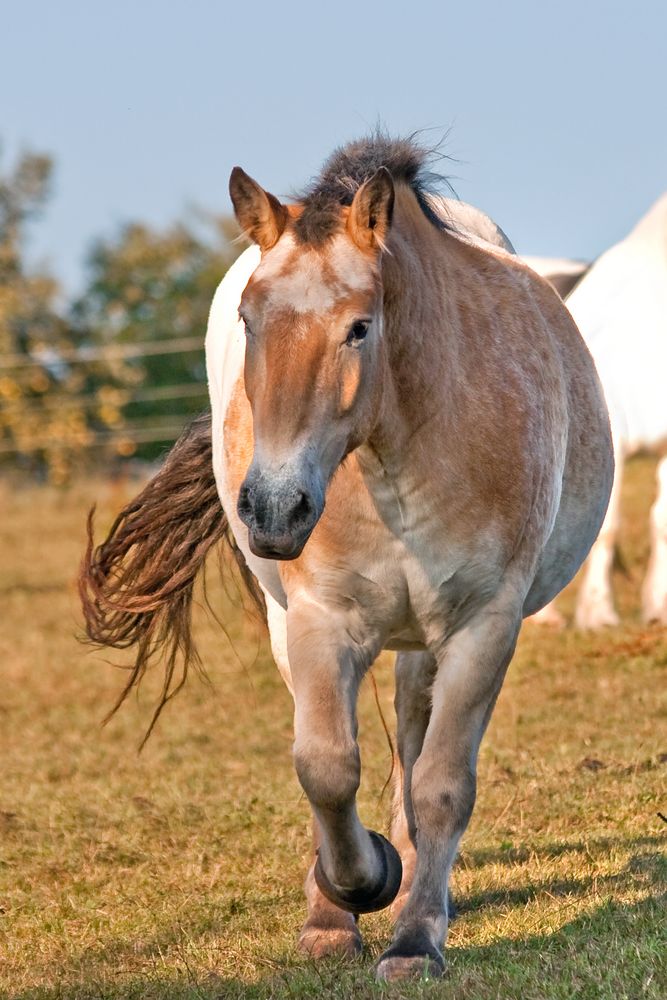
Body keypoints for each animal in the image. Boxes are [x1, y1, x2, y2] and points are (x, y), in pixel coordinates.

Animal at [79, 135, 616, 984]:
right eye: (249, 320)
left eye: (360, 327)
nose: (272, 508)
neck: (395, 452)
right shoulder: (321, 621)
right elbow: (325, 766)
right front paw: (350, 896)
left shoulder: (482, 627)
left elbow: (440, 786)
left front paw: (414, 934)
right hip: (291, 623)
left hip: (425, 642)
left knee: (413, 737)